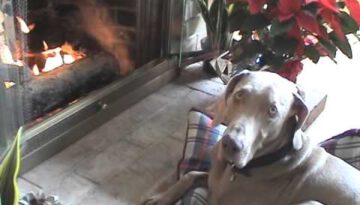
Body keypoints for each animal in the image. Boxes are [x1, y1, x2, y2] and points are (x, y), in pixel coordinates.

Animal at [143, 71, 360, 205]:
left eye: (273, 110)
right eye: (239, 95)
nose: (230, 145)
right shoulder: (213, 178)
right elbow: (191, 174)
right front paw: (160, 198)